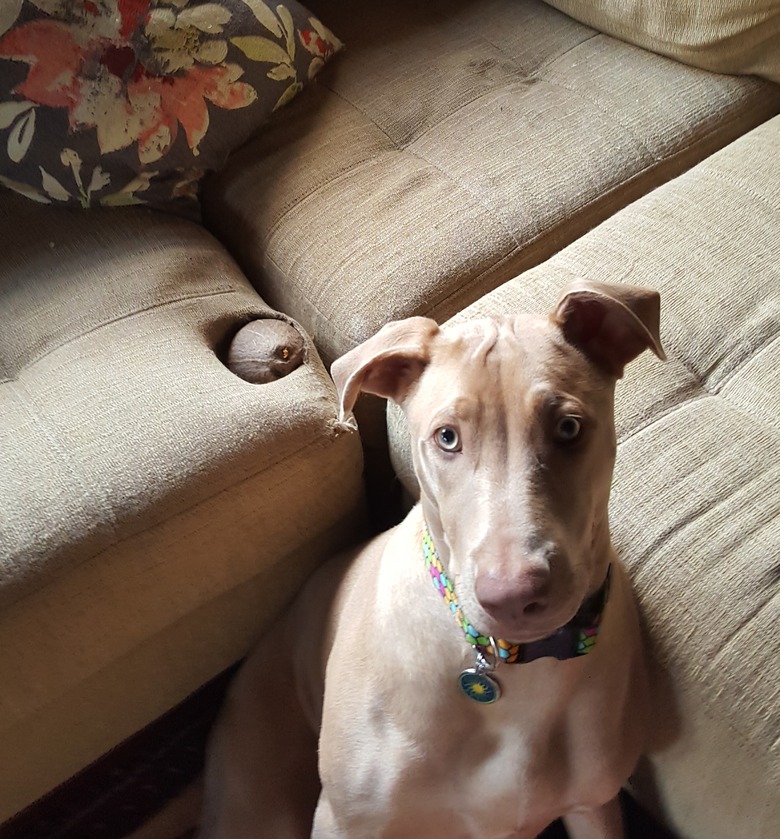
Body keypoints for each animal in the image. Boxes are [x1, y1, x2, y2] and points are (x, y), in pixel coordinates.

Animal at [198, 278, 668, 836]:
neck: (510, 664)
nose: (513, 597)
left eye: (569, 428)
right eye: (447, 437)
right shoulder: (345, 820)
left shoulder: (593, 805)